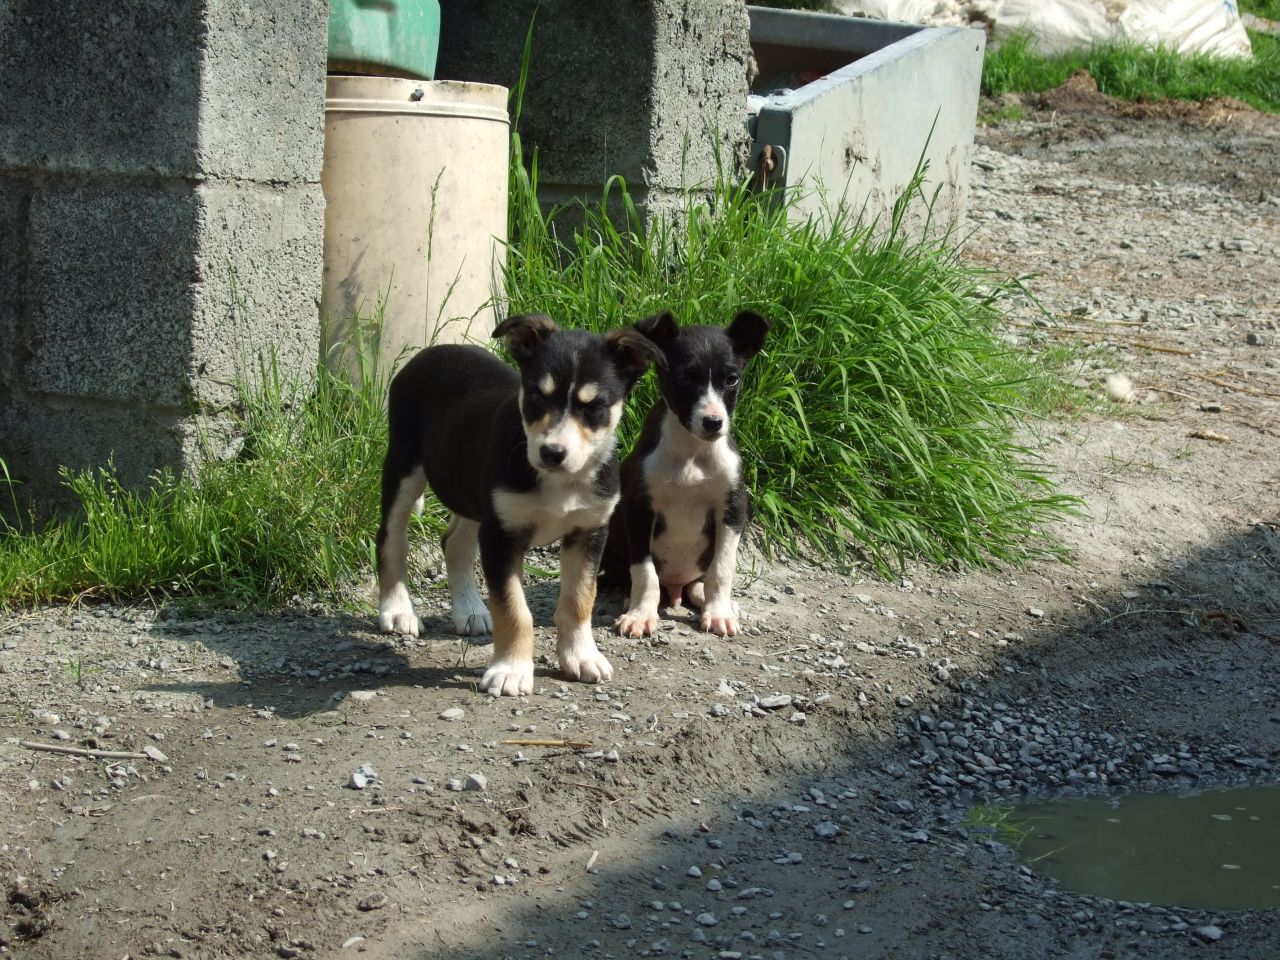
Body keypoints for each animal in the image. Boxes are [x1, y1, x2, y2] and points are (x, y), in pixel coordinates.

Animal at [375, 314, 660, 697]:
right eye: (537, 396)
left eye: (594, 407)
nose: (552, 452)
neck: (560, 481)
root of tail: (431, 352)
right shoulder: (501, 537)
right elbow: (513, 608)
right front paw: (510, 671)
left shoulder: (588, 532)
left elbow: (579, 599)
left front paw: (581, 657)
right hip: (404, 467)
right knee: (390, 538)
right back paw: (397, 610)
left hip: (473, 494)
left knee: (454, 543)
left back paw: (469, 609)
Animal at [602, 309, 770, 638]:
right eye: (683, 378)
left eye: (732, 379)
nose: (713, 422)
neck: (692, 451)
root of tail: (675, 588)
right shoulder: (639, 508)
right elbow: (644, 571)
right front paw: (640, 615)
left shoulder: (732, 509)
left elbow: (722, 568)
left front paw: (719, 613)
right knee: (629, 575)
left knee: (697, 583)